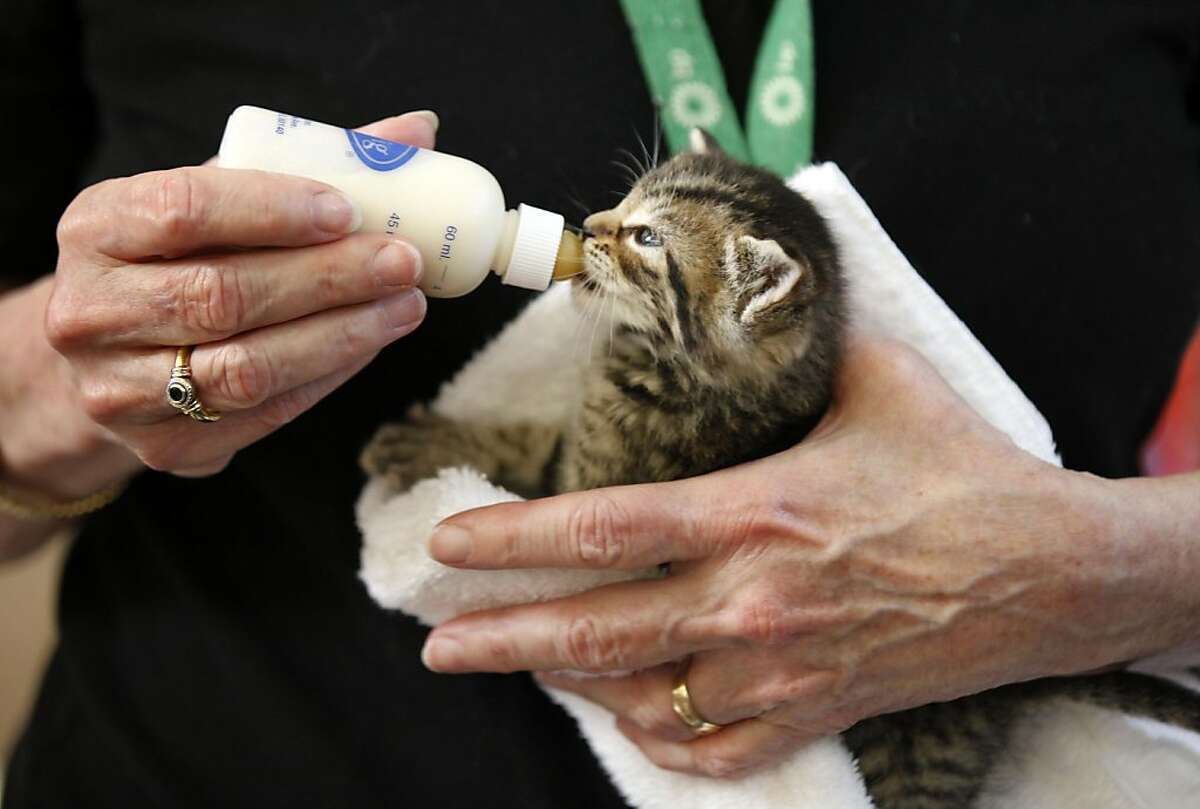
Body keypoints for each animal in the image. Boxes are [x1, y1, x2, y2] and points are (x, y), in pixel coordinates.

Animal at [357, 129, 1200, 801]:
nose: (587, 225)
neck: (677, 375)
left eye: (648, 239)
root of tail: (1020, 677)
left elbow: (531, 479)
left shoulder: (598, 481)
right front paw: (437, 445)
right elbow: (526, 442)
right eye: (625, 202)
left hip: (911, 744)